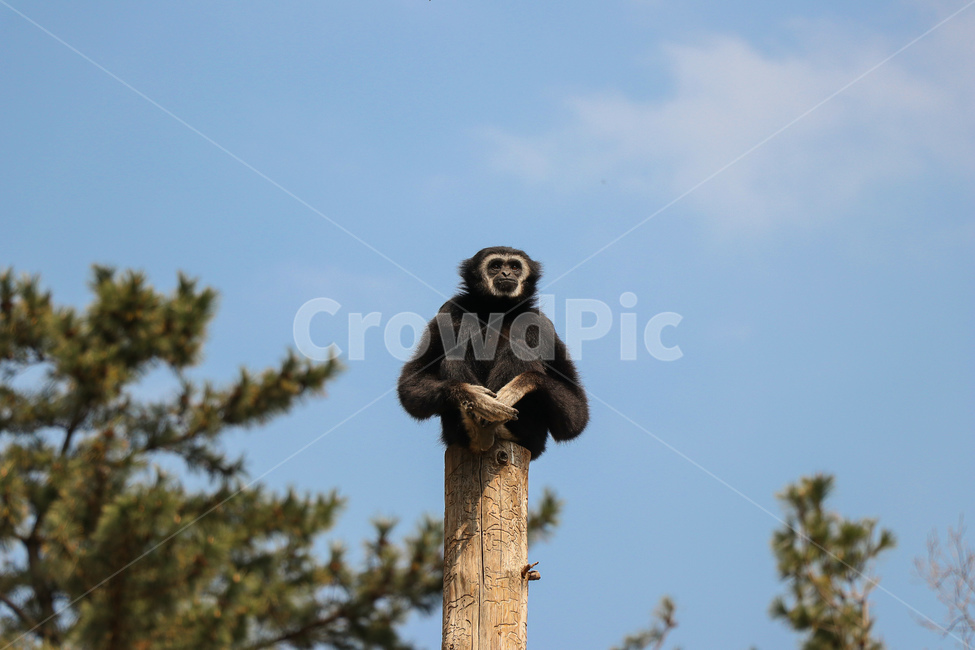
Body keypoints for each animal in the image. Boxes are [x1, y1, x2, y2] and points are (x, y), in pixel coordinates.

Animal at [397, 246, 588, 459]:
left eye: (515, 267)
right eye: (495, 266)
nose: (506, 273)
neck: (497, 311)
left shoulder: (542, 323)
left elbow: (575, 417)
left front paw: (519, 386)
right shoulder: (449, 310)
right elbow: (411, 384)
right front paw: (472, 395)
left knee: (520, 348)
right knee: (454, 357)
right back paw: (478, 426)